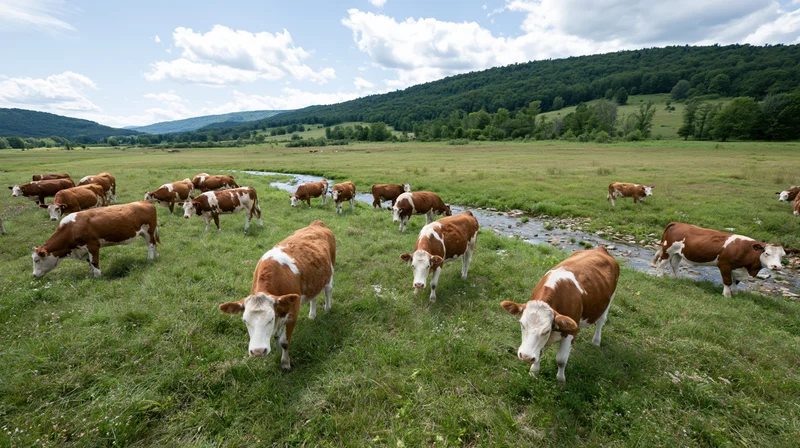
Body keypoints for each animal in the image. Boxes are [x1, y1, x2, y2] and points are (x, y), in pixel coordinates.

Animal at [31, 201, 160, 278]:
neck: (71, 228)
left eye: (37, 260)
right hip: (146, 232)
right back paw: (156, 256)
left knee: (150, 245)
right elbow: (90, 263)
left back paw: (150, 259)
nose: (33, 275)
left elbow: (94, 262)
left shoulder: (92, 246)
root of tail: (144, 202)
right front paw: (92, 275)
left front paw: (98, 277)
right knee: (154, 244)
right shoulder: (84, 249)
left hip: (148, 231)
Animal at [218, 220, 336, 369]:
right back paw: (312, 315)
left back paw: (327, 309)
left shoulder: (293, 311)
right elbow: (276, 336)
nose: (258, 351)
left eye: (270, 319)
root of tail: (317, 223)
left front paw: (285, 362)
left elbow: (285, 341)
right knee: (313, 297)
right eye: (245, 321)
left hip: (330, 272)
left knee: (328, 291)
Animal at [501, 247, 619, 384]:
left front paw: (561, 380)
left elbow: (561, 360)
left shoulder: (571, 332)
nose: (526, 356)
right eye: (522, 325)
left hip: (609, 301)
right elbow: (539, 353)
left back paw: (596, 341)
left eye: (546, 331)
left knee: (600, 321)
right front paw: (534, 372)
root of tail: (600, 248)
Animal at [652, 222, 798, 297]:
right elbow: (727, 281)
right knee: (662, 263)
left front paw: (735, 294)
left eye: (782, 256)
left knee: (675, 264)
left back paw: (678, 278)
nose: (776, 267)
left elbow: (736, 282)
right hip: (668, 250)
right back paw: (660, 276)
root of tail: (677, 223)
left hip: (678, 253)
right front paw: (727, 296)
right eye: (767, 253)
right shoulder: (725, 265)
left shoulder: (738, 269)